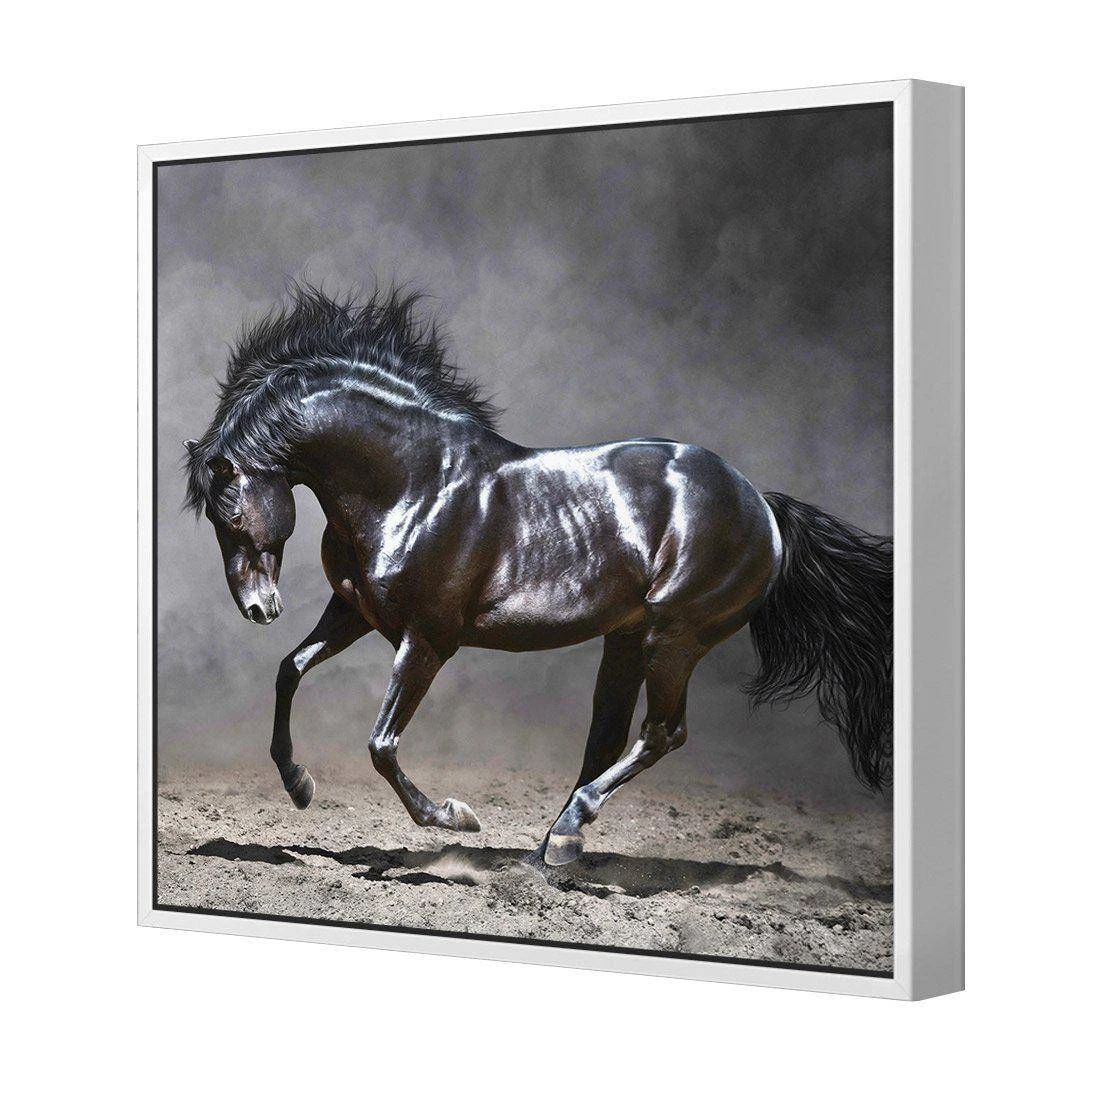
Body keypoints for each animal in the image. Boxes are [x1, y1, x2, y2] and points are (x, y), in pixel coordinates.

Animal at [184, 284, 892, 866]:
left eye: (230, 509)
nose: (258, 608)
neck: (414, 483)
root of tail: (761, 505)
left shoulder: (428, 639)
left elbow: (381, 744)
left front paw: (456, 818)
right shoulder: (355, 611)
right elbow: (289, 670)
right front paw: (299, 785)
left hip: (674, 637)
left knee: (661, 733)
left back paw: (566, 836)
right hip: (627, 639)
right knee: (607, 739)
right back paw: (551, 850)